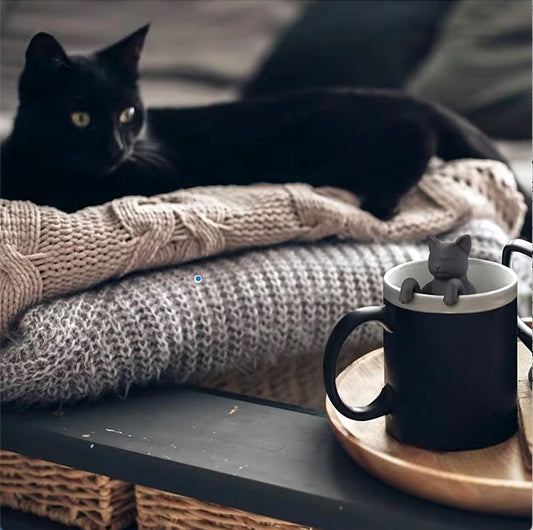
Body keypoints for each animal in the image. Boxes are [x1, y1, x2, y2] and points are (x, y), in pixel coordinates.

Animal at [0, 25, 524, 227]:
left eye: (128, 114)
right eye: (81, 117)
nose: (115, 147)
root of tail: (412, 96)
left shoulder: (157, 171)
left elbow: (69, 193)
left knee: (416, 149)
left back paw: (381, 202)